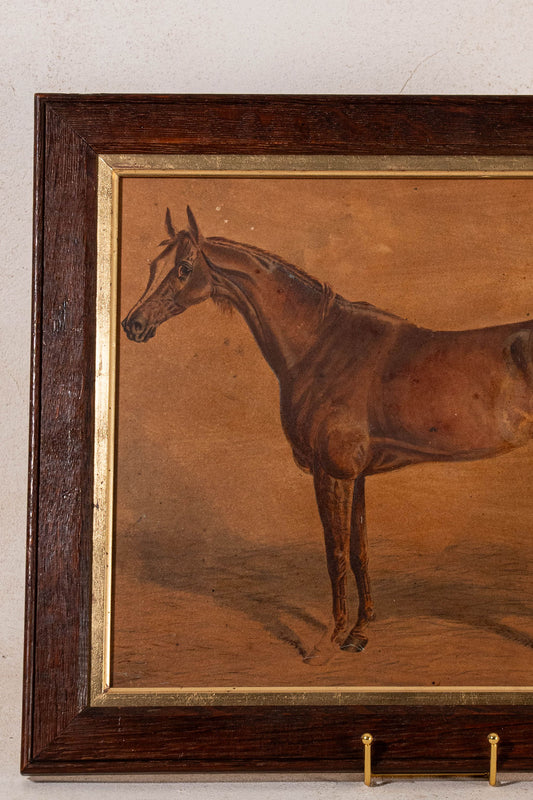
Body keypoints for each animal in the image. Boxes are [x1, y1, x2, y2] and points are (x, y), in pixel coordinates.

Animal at [122, 206, 533, 662]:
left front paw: (328, 640)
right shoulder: (357, 475)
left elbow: (334, 553)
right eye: (153, 266)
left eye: (183, 268)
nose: (133, 325)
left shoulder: (332, 473)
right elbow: (359, 552)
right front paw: (359, 632)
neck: (321, 345)